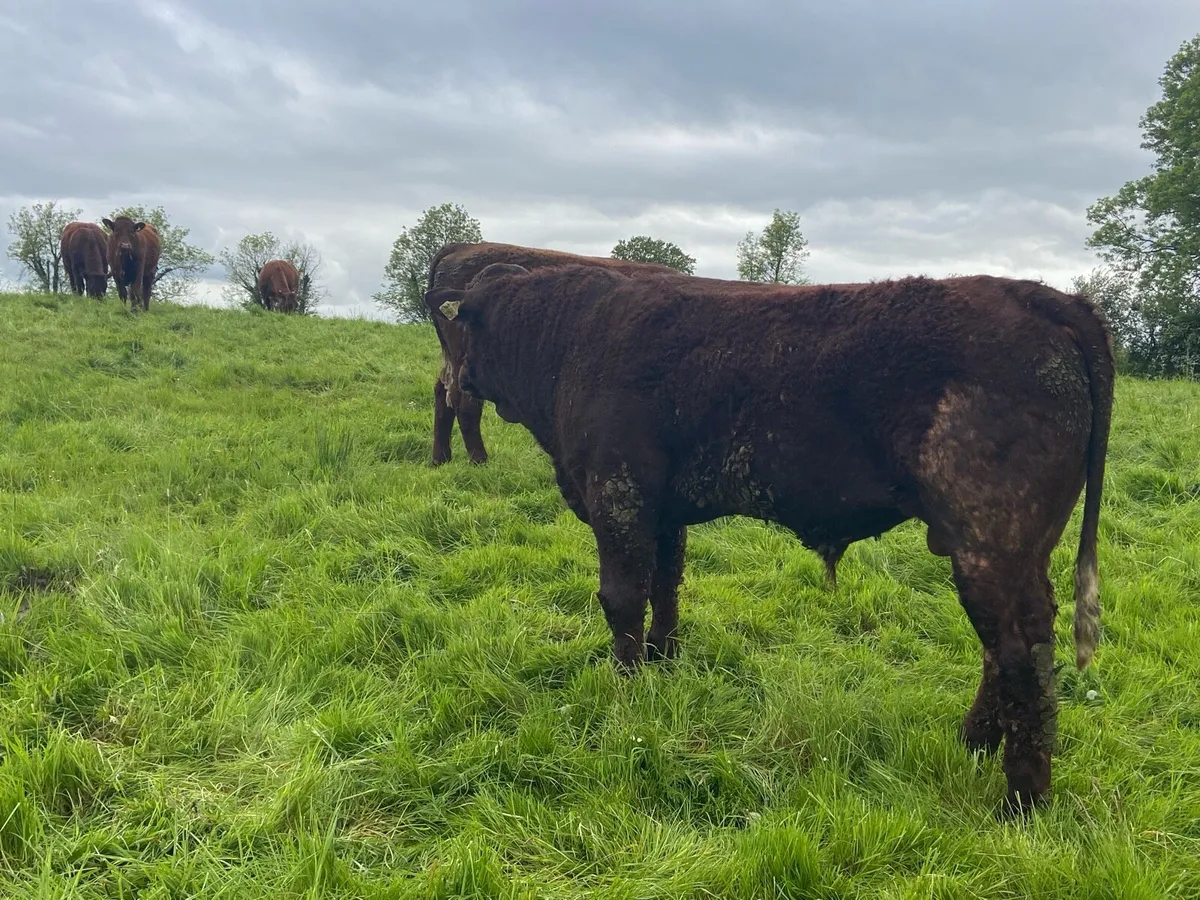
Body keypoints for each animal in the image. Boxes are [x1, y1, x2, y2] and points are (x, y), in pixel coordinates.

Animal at [427, 264, 1115, 813]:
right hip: (1012, 549)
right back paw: (971, 744)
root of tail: (1042, 296)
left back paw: (1022, 798)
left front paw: (626, 688)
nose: (452, 383)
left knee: (1019, 649)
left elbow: (621, 598)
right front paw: (664, 663)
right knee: (1003, 647)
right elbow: (666, 586)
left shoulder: (618, 495)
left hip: (990, 541)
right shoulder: (663, 509)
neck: (570, 342)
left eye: (462, 327)